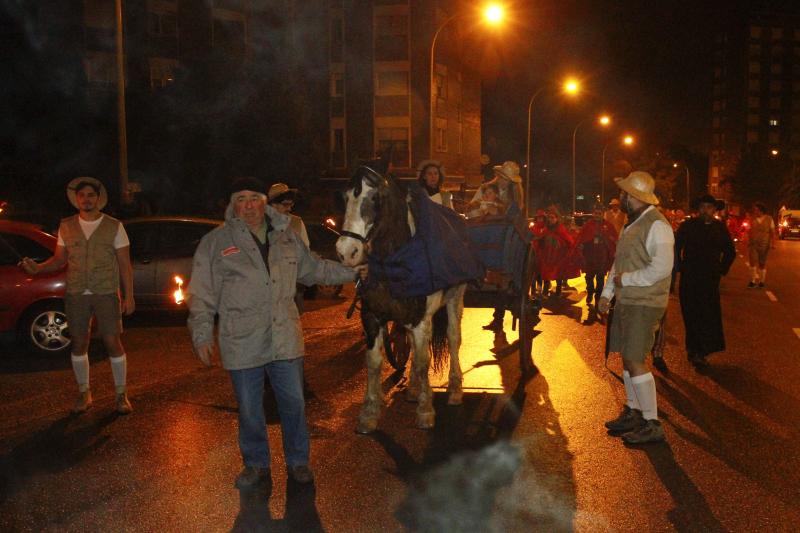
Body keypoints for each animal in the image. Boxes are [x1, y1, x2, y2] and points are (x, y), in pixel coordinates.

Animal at [334, 164, 466, 434]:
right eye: (343, 197)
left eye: (375, 198)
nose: (346, 252)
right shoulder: (372, 317)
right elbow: (374, 361)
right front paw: (369, 412)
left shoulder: (420, 318)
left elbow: (424, 362)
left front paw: (425, 411)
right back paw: (414, 388)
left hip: (455, 298)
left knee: (453, 337)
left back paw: (455, 388)